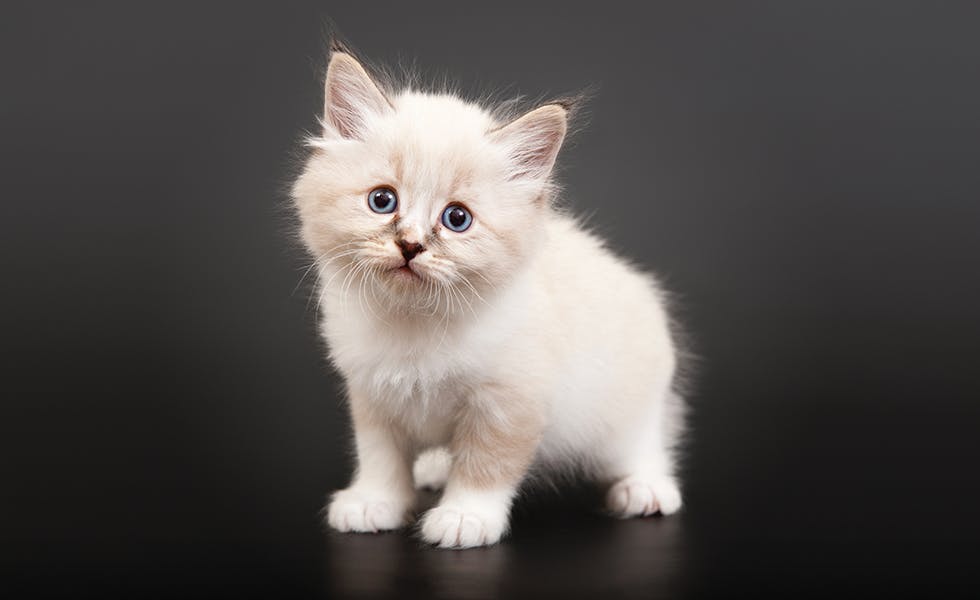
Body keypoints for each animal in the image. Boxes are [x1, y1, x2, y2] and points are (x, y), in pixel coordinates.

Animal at [294, 43, 684, 548]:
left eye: (457, 218)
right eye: (382, 201)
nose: (410, 246)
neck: (413, 322)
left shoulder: (508, 400)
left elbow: (485, 465)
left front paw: (464, 518)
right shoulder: (373, 395)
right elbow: (380, 458)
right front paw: (373, 503)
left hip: (628, 407)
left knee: (645, 445)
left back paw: (646, 489)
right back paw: (433, 469)